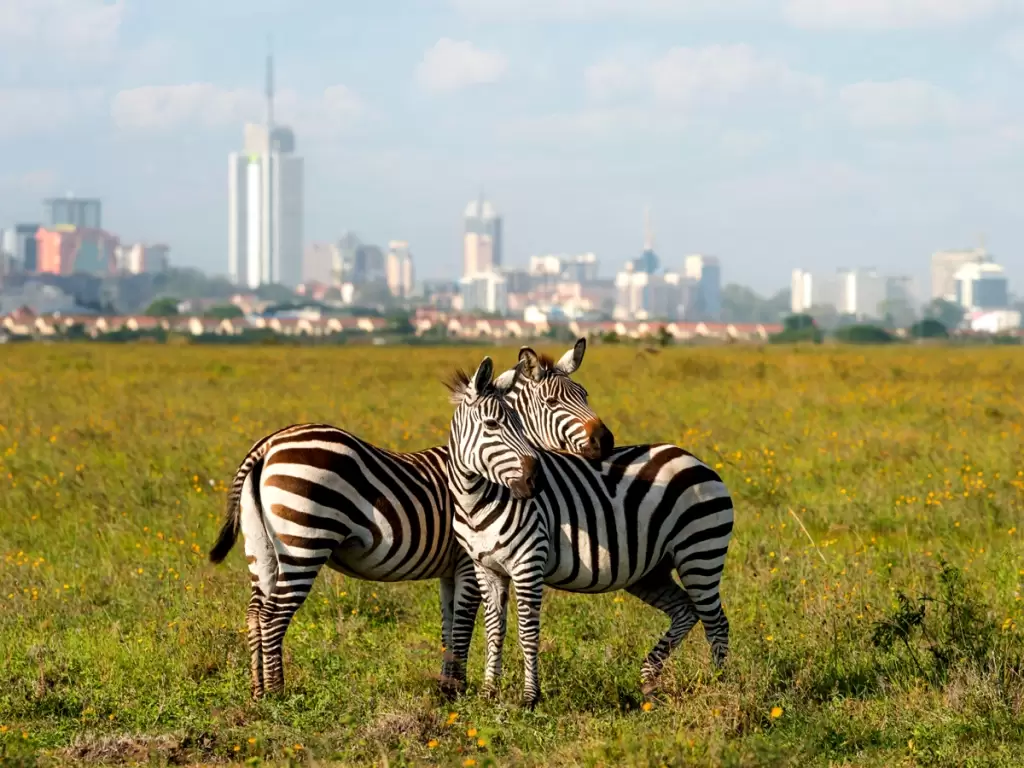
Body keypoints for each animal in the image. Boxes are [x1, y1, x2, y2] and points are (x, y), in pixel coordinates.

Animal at [207, 340, 613, 701]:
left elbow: (450, 625)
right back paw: (278, 694)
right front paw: (457, 689)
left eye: (585, 394)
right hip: (304, 543)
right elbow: (464, 623)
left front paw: (448, 686)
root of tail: (268, 445)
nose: (606, 441)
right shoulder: (468, 562)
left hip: (262, 548)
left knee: (255, 613)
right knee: (273, 616)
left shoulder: (451, 569)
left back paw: (258, 691)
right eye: (553, 402)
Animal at [446, 355, 735, 709]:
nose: (535, 481)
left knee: (716, 622)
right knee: (686, 610)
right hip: (651, 572)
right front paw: (489, 693)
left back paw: (719, 686)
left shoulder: (528, 564)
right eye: (491, 425)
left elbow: (527, 632)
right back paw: (649, 679)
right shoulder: (486, 568)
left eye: (518, 425)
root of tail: (695, 460)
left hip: (700, 553)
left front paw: (530, 697)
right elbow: (494, 630)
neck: (476, 500)